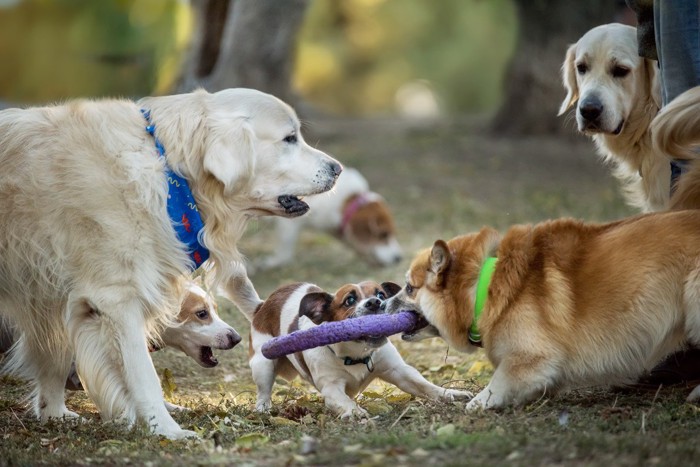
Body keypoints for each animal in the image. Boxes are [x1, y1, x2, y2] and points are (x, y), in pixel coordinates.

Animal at [228, 278, 470, 420]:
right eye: (349, 300)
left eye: (381, 294)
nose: (375, 303)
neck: (356, 355)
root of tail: (262, 305)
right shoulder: (331, 387)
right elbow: (344, 401)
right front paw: (355, 412)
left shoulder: (399, 372)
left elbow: (426, 386)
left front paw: (451, 393)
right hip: (263, 364)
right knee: (263, 390)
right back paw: (263, 408)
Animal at [254, 167, 402, 270]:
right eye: (383, 235)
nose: (399, 258)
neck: (342, 201)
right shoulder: (288, 222)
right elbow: (284, 249)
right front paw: (274, 262)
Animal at [386, 212, 700, 414]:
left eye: (409, 288)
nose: (384, 303)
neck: (482, 288)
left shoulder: (532, 357)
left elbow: (498, 382)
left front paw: (479, 402)